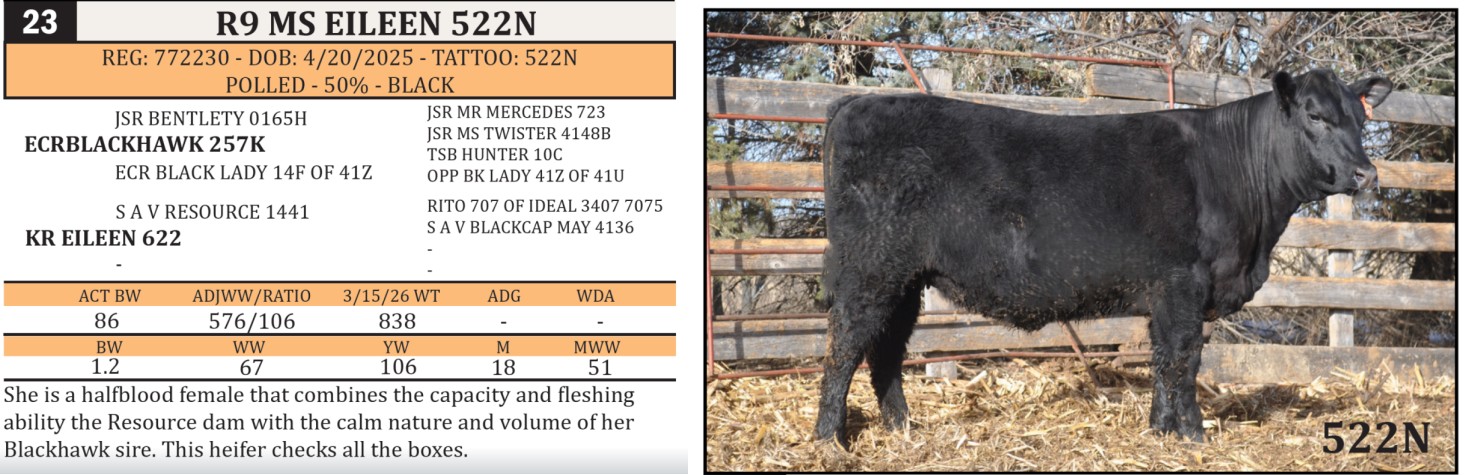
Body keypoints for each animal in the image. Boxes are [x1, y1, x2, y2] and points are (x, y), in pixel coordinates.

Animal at [815, 69, 1392, 446]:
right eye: (1315, 115)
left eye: (1360, 120)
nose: (1366, 173)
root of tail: (853, 103)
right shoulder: (1185, 282)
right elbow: (1184, 358)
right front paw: (1195, 435)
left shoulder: (1166, 293)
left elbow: (1162, 359)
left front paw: (1162, 431)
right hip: (870, 269)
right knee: (845, 345)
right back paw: (829, 439)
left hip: (905, 278)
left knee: (886, 351)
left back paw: (903, 430)